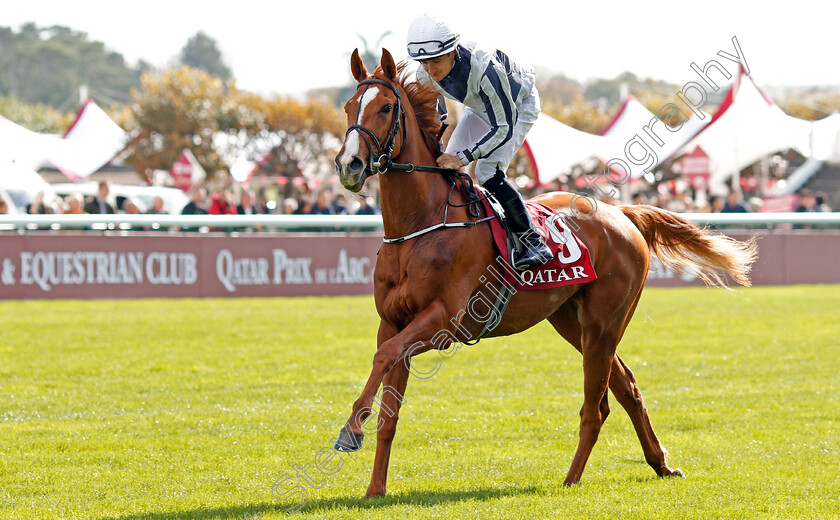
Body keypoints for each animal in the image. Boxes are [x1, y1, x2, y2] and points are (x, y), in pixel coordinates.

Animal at [334, 49, 756, 500]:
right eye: (348, 107)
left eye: (386, 107)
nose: (349, 164)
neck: (422, 226)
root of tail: (622, 213)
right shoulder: (394, 322)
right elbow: (389, 404)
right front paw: (374, 488)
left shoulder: (445, 321)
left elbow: (383, 357)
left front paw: (349, 431)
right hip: (571, 320)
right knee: (627, 387)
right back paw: (660, 464)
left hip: (604, 322)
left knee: (597, 406)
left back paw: (572, 479)